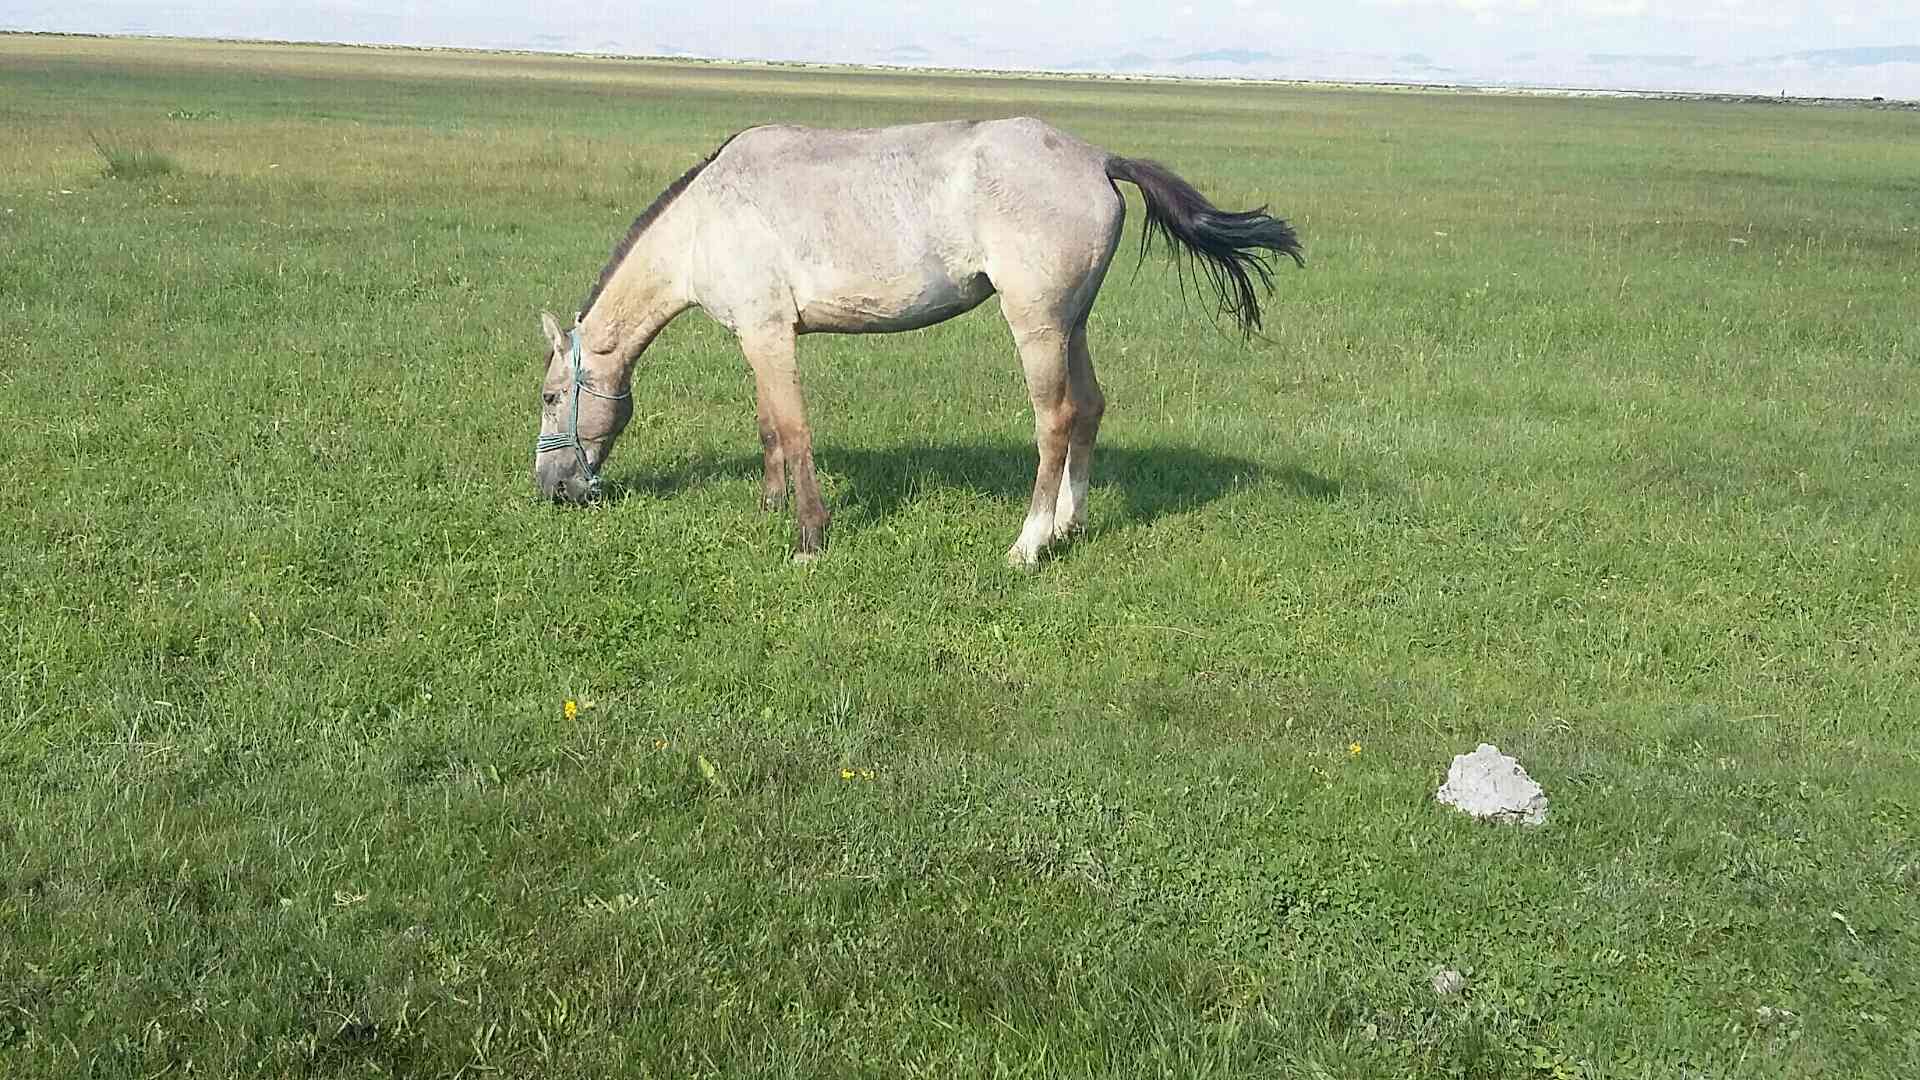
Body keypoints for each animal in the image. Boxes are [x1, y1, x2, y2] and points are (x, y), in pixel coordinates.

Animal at [533, 117, 1297, 568]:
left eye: (547, 397)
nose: (552, 489)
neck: (704, 222)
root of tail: (1096, 158)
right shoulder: (760, 337)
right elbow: (768, 426)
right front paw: (771, 505)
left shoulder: (769, 336)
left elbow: (794, 429)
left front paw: (808, 539)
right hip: (1072, 325)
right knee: (1090, 409)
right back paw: (1068, 526)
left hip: (1038, 327)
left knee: (1055, 421)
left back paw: (1028, 545)